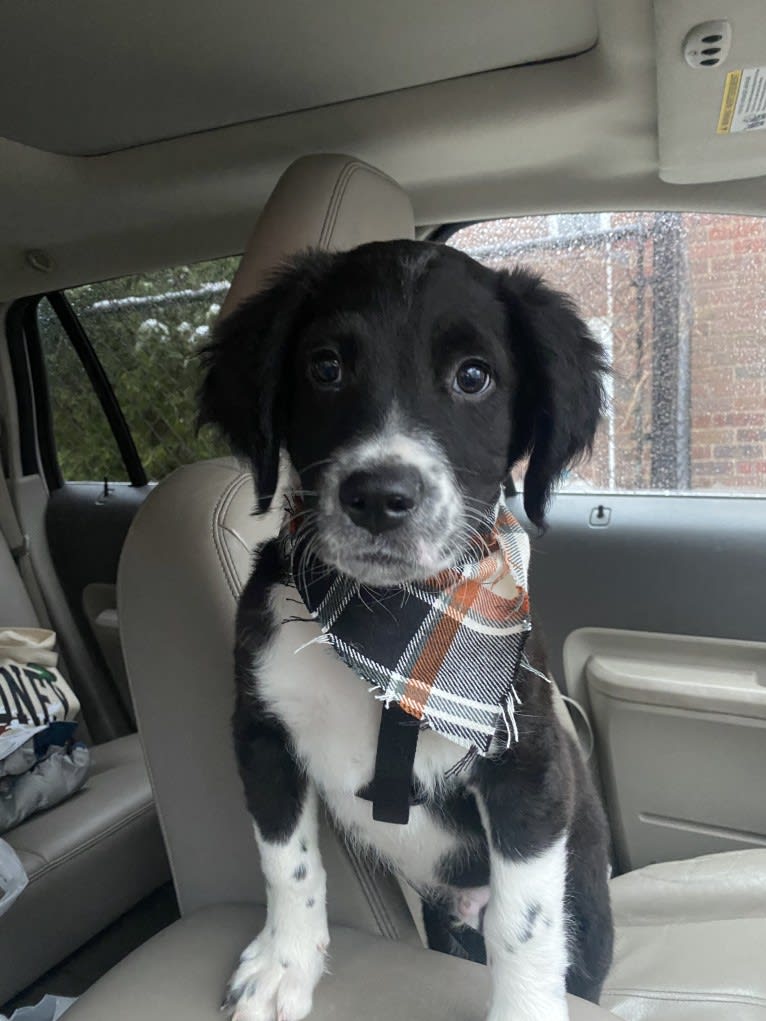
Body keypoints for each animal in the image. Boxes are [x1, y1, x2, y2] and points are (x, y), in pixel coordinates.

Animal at [201, 240, 616, 1021]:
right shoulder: (261, 731)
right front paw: (284, 964)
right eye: (325, 367)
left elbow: (524, 921)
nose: (378, 497)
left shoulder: (528, 765)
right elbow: (286, 861)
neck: (392, 619)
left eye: (474, 376)